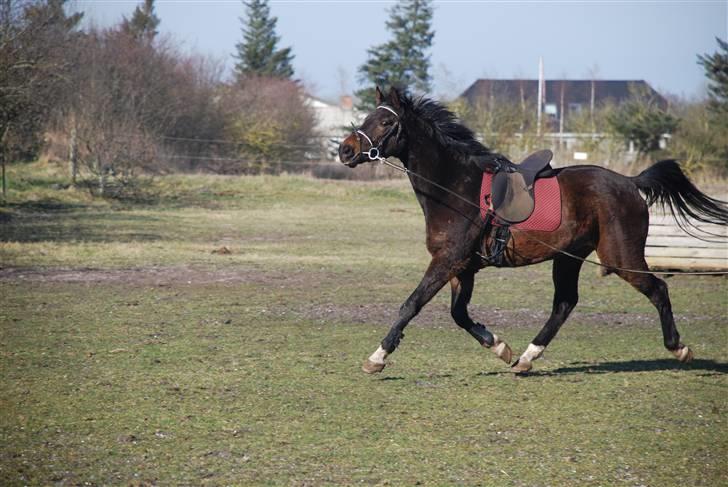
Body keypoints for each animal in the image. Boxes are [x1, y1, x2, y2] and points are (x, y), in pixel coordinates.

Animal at [336, 86, 728, 374]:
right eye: (368, 117)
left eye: (384, 123)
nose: (345, 150)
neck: (455, 186)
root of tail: (630, 183)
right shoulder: (463, 268)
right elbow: (459, 315)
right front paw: (500, 348)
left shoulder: (447, 261)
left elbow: (412, 304)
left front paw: (377, 358)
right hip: (568, 257)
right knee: (565, 303)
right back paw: (526, 357)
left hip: (620, 256)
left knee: (658, 288)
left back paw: (679, 348)